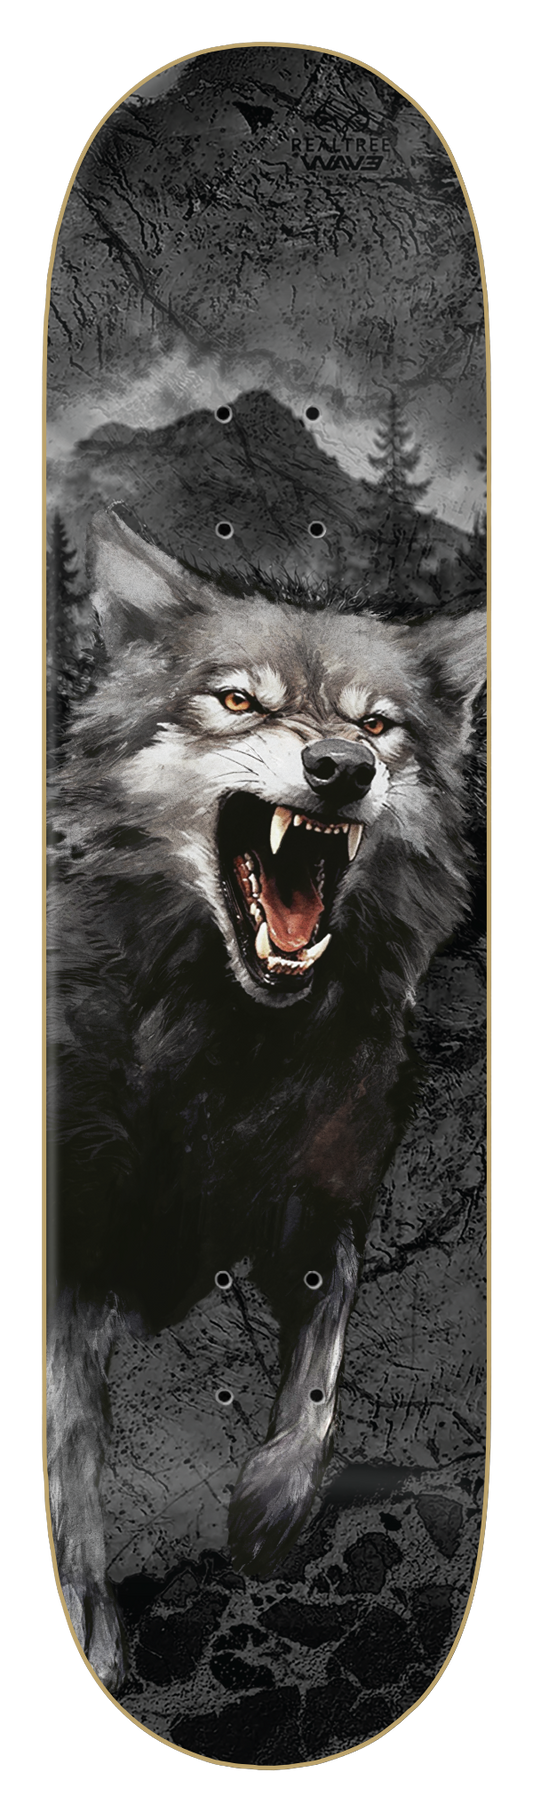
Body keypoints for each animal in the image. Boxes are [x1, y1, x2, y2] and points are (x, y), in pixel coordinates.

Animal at [45, 503, 486, 1691]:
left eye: (377, 725)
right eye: (238, 699)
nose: (339, 766)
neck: (229, 1049)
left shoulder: (322, 1206)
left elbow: (323, 1374)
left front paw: (271, 1509)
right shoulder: (76, 1249)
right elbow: (71, 1439)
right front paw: (87, 1612)